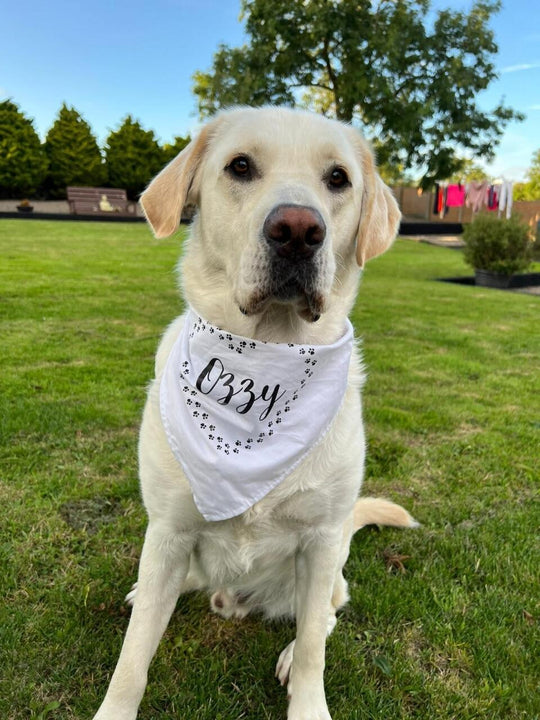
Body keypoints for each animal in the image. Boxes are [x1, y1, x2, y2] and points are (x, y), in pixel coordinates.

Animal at [94, 107, 418, 720]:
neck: (265, 356)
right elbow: (133, 655)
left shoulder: (319, 542)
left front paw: (308, 701)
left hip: (334, 560)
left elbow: (315, 644)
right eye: (240, 166)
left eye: (338, 178)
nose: (297, 229)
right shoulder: (168, 531)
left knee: (327, 613)